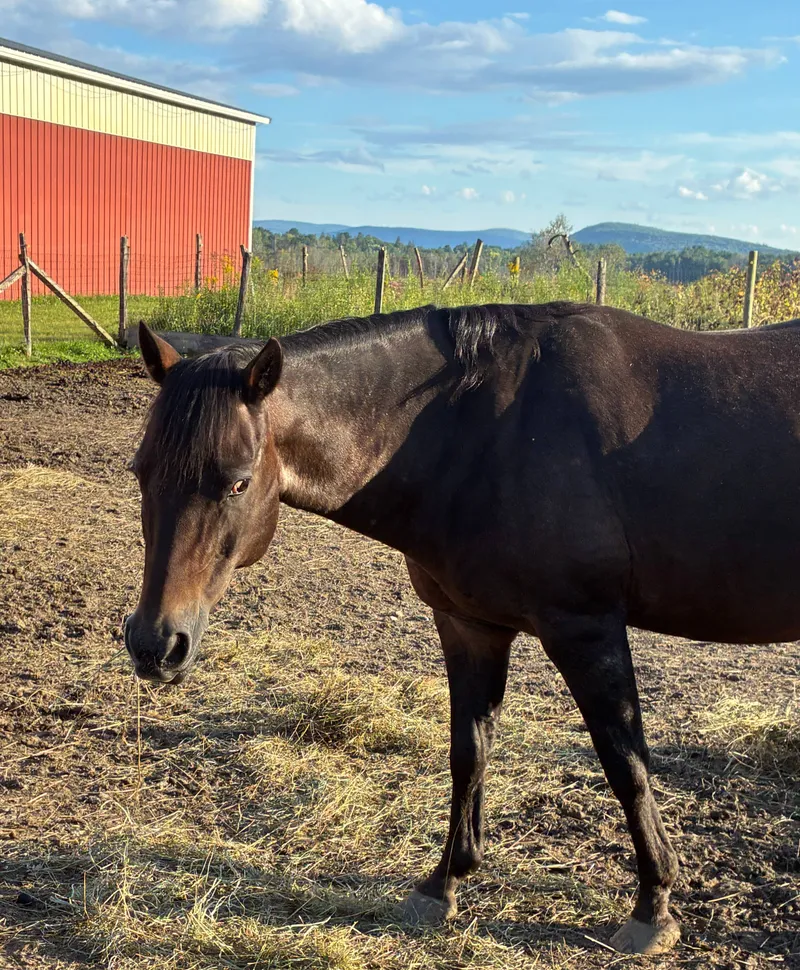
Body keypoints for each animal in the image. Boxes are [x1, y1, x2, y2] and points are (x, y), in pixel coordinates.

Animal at [125, 303, 800, 955]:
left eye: (237, 482)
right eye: (139, 471)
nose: (155, 644)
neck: (481, 428)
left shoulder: (585, 630)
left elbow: (625, 763)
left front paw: (652, 908)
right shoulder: (470, 626)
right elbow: (469, 754)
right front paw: (442, 885)